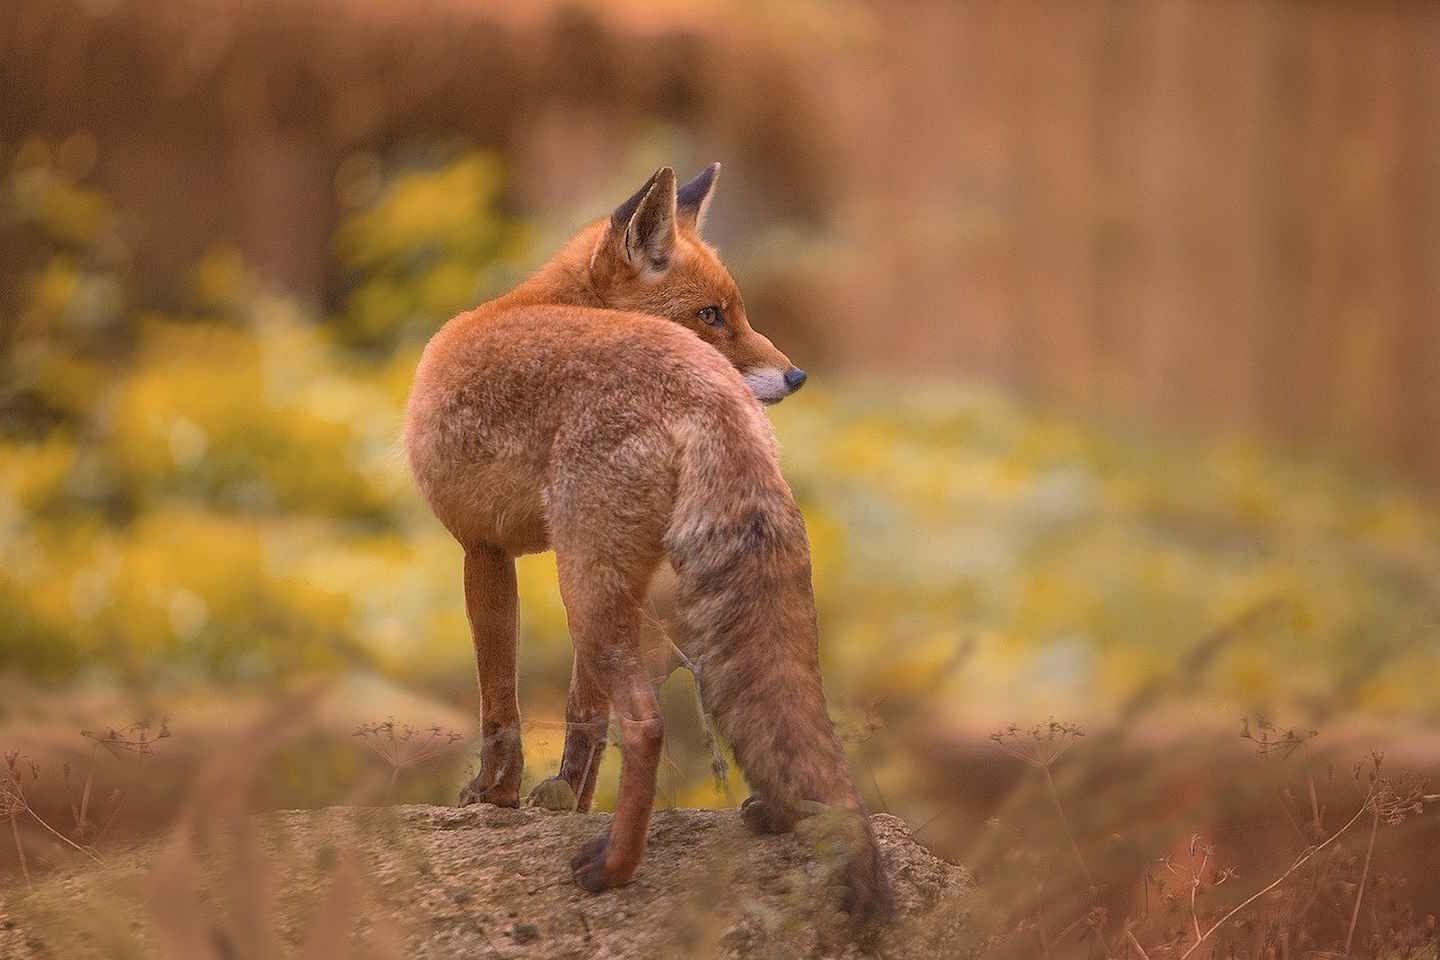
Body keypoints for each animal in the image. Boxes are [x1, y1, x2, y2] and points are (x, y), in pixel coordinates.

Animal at [406, 163, 887, 921]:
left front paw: (496, 797)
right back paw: (777, 815)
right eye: (713, 315)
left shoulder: (481, 549)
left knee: (646, 725)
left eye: (736, 311)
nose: (797, 376)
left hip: (586, 587)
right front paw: (564, 804)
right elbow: (581, 718)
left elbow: (499, 704)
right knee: (779, 715)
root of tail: (706, 394)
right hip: (665, 591)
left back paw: (614, 868)